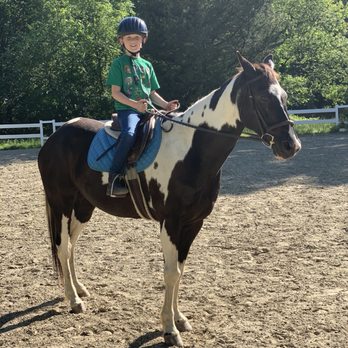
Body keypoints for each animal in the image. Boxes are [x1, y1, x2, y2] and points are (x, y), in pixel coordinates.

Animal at [36, 53, 300, 346]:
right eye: (263, 98)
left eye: (284, 96)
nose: (291, 146)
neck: (190, 151)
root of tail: (54, 136)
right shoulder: (170, 223)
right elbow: (171, 272)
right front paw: (169, 329)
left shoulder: (193, 223)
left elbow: (180, 270)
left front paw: (180, 319)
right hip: (61, 202)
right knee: (62, 246)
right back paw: (73, 300)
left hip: (84, 206)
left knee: (71, 246)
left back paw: (79, 290)